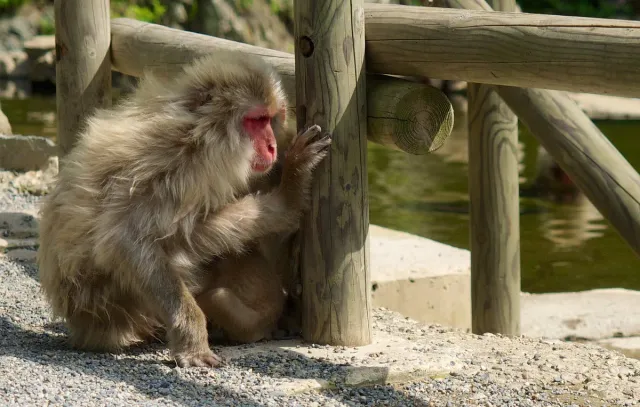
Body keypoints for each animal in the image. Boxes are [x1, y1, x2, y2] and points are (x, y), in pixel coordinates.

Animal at [36, 51, 331, 368]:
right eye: (256, 120)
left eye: (271, 119)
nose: (272, 146)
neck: (204, 133)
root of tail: (83, 325)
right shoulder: (178, 163)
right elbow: (125, 240)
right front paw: (192, 339)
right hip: (117, 303)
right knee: (182, 230)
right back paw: (286, 204)